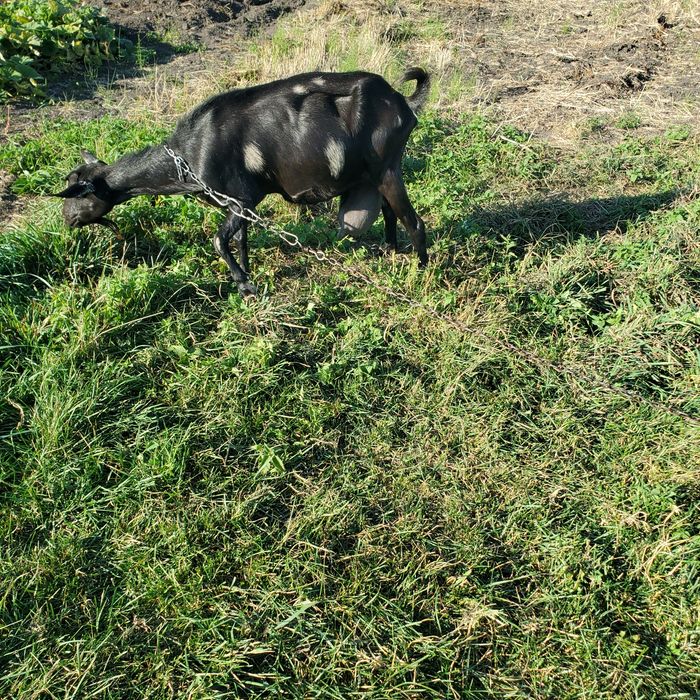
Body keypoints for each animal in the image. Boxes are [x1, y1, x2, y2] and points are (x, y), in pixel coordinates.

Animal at [55, 68, 430, 297]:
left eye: (76, 195)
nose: (66, 219)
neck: (188, 154)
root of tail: (402, 102)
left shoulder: (242, 201)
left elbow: (219, 241)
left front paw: (244, 286)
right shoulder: (239, 204)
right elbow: (241, 242)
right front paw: (247, 274)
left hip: (387, 169)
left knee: (415, 222)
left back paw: (420, 275)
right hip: (375, 175)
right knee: (391, 214)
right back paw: (392, 255)